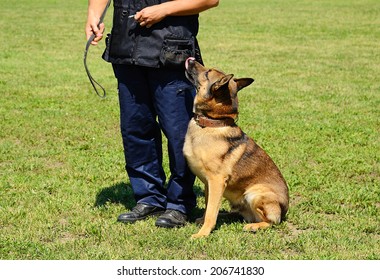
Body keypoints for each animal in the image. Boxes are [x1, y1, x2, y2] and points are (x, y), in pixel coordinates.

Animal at [183, 57, 288, 238]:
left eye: (207, 72)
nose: (190, 58)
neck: (212, 123)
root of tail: (285, 209)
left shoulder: (217, 181)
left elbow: (211, 212)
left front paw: (203, 233)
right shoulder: (209, 184)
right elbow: (209, 206)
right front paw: (203, 222)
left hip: (255, 193)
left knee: (272, 222)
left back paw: (254, 226)